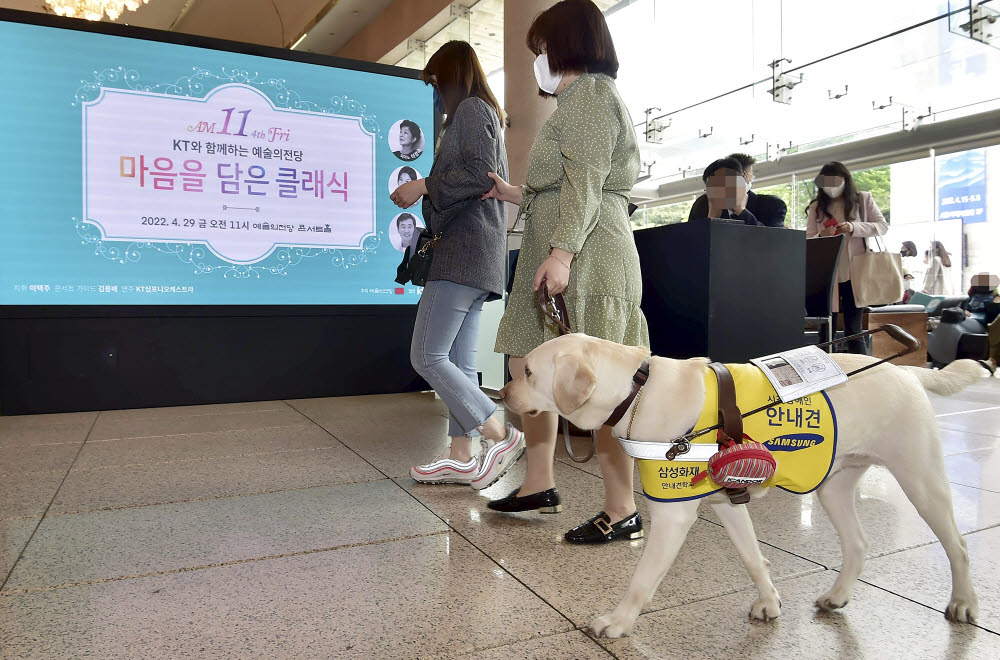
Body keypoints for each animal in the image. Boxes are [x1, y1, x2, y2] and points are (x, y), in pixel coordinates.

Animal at [500, 336, 984, 640]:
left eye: (528, 372)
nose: (503, 394)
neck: (636, 391)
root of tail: (908, 373)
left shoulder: (674, 513)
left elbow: (642, 579)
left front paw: (618, 623)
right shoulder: (728, 504)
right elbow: (753, 558)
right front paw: (769, 602)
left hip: (921, 479)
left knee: (959, 545)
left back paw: (963, 602)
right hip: (833, 486)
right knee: (859, 544)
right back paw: (838, 595)